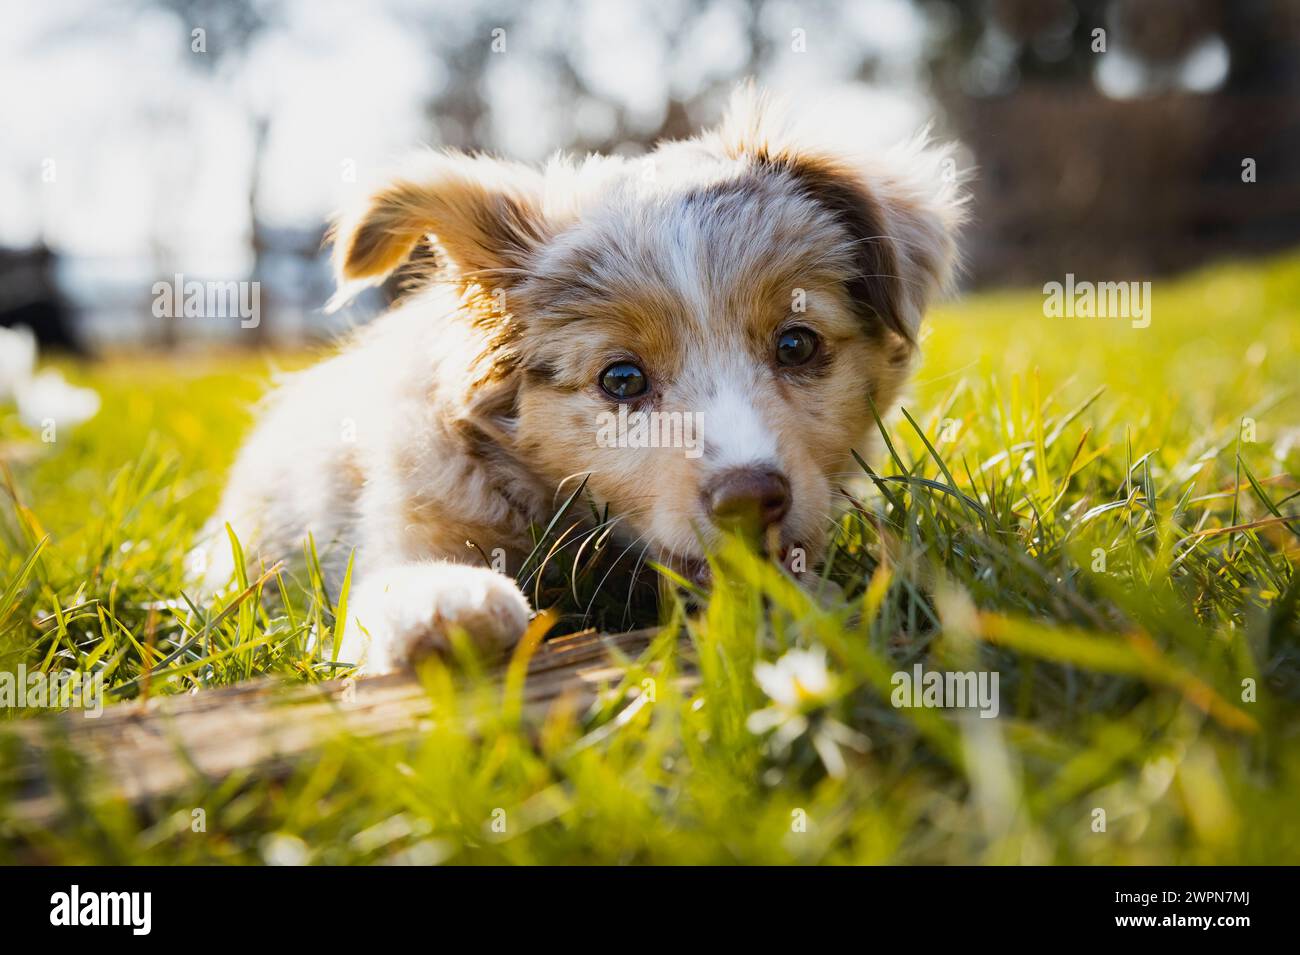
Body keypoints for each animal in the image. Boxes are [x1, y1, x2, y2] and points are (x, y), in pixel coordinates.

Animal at [197, 89, 961, 670]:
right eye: (621, 379)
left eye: (797, 344)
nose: (750, 498)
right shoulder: (412, 508)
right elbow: (391, 582)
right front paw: (444, 604)